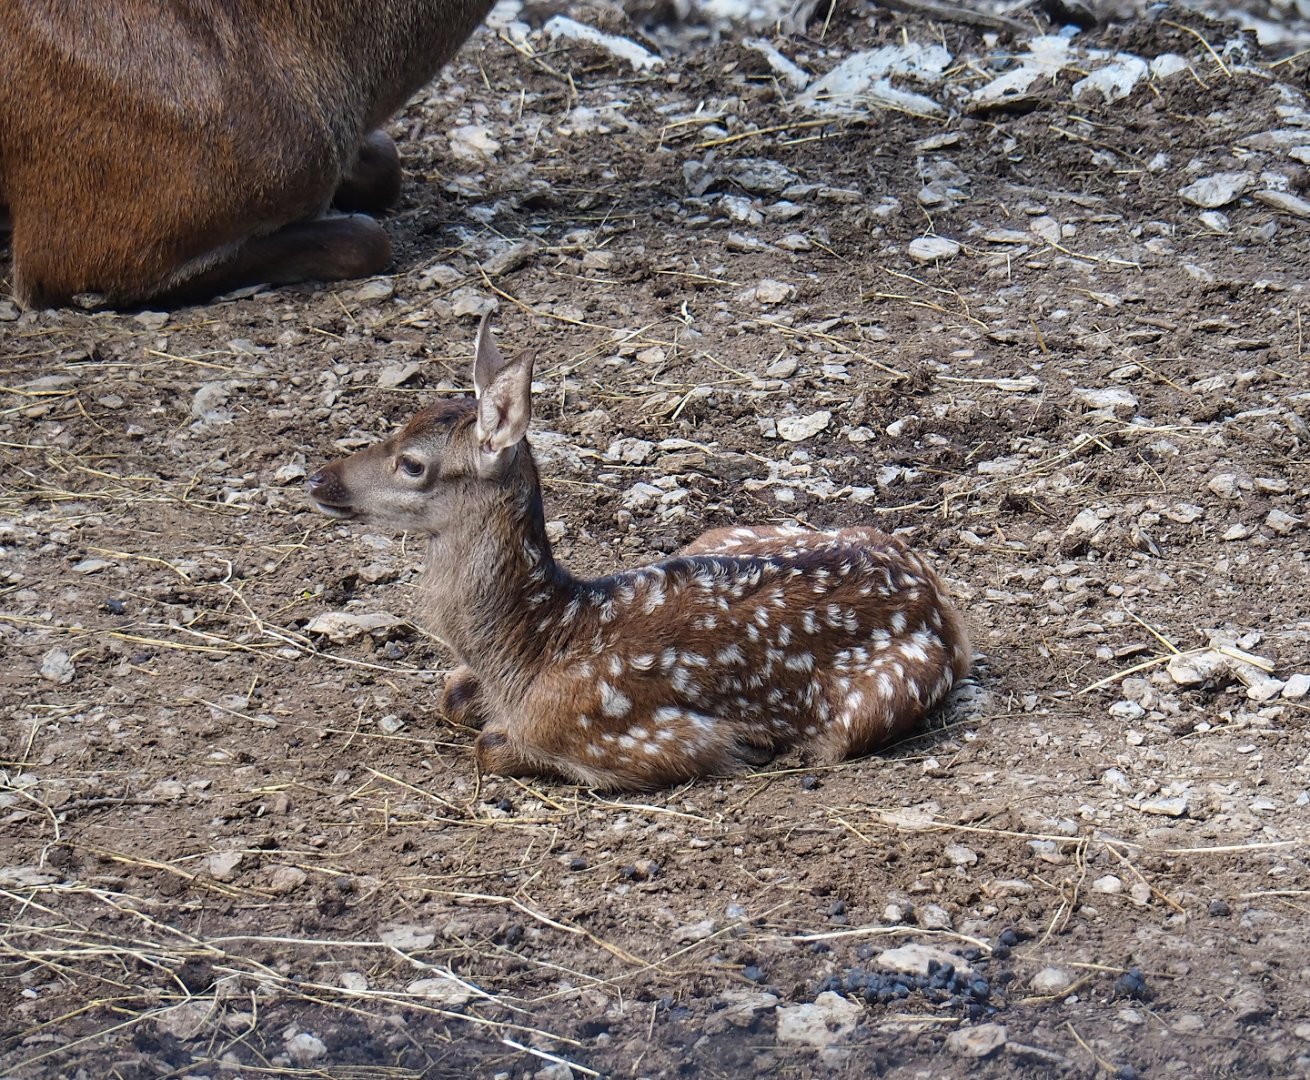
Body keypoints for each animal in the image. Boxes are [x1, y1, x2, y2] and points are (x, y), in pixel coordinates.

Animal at [306, 317, 972, 790]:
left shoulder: (637, 739)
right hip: (724, 533)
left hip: (876, 700)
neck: (532, 649)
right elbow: (450, 697)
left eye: (412, 464)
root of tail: (936, 597)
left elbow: (489, 746)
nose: (317, 479)